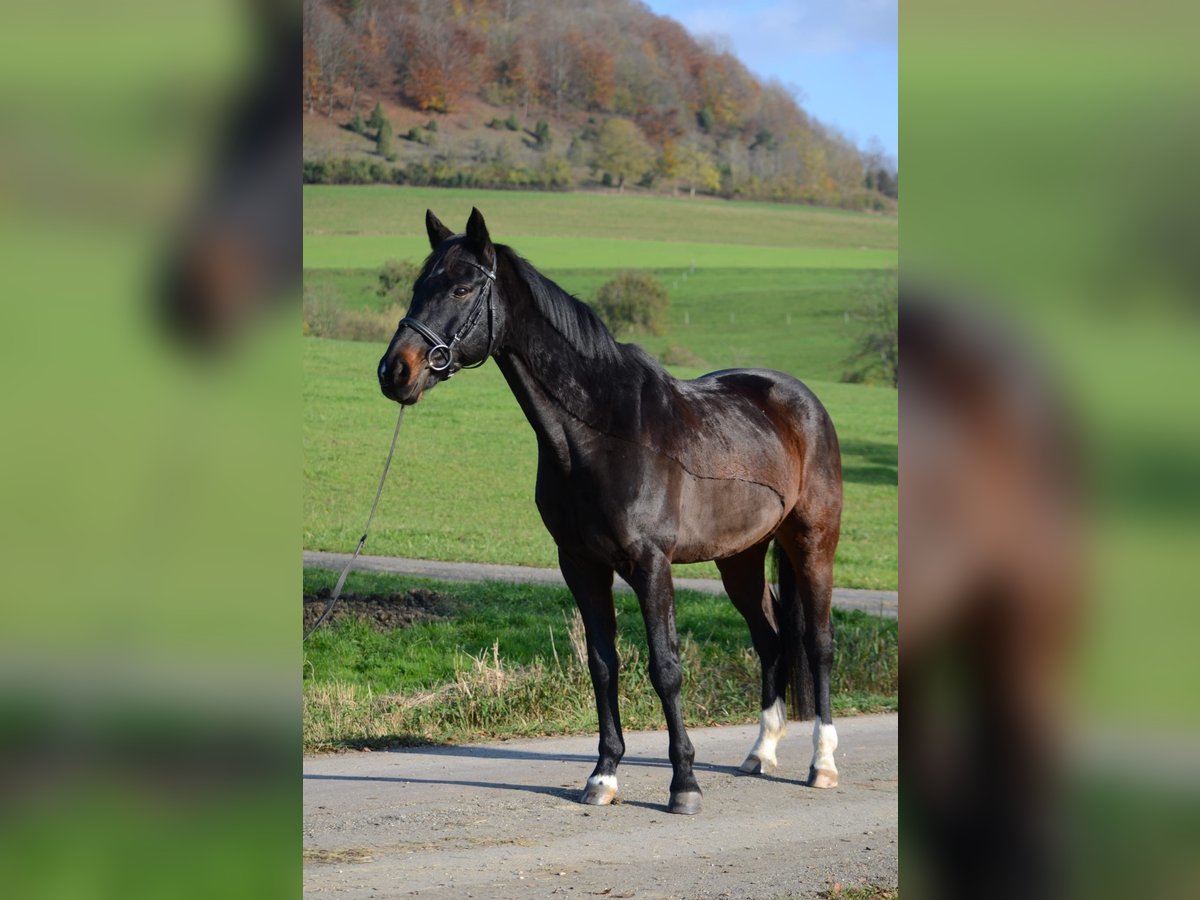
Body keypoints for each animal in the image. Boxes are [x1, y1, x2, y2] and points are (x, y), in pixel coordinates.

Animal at [376, 210, 844, 816]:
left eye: (461, 287)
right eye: (418, 286)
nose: (395, 371)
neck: (600, 431)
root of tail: (801, 402)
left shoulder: (651, 565)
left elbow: (665, 668)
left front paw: (684, 785)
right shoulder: (581, 565)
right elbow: (603, 666)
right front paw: (603, 776)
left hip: (813, 542)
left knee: (818, 643)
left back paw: (823, 763)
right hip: (740, 557)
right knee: (770, 639)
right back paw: (760, 752)